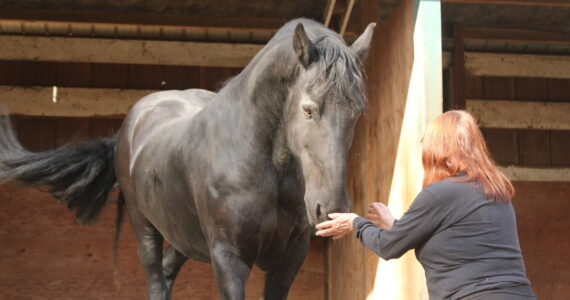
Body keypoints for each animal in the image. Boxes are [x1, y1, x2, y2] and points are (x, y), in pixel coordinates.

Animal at [0, 18, 372, 300]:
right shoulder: (229, 259)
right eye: (308, 109)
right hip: (144, 226)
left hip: (181, 234)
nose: (330, 207)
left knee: (166, 272)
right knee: (155, 278)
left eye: (357, 112)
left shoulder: (288, 261)